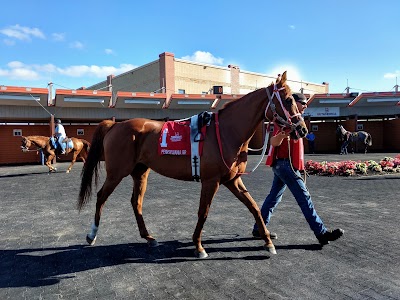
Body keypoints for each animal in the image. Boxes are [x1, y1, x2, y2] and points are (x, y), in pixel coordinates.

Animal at [79, 71, 310, 258]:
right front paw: (199, 247)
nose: (302, 129)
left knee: (136, 203)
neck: (226, 133)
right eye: (288, 100)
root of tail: (114, 125)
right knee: (101, 196)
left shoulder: (232, 180)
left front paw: (268, 241)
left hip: (141, 172)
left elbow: (254, 207)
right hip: (117, 172)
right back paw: (91, 234)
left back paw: (149, 237)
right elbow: (204, 211)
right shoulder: (211, 181)